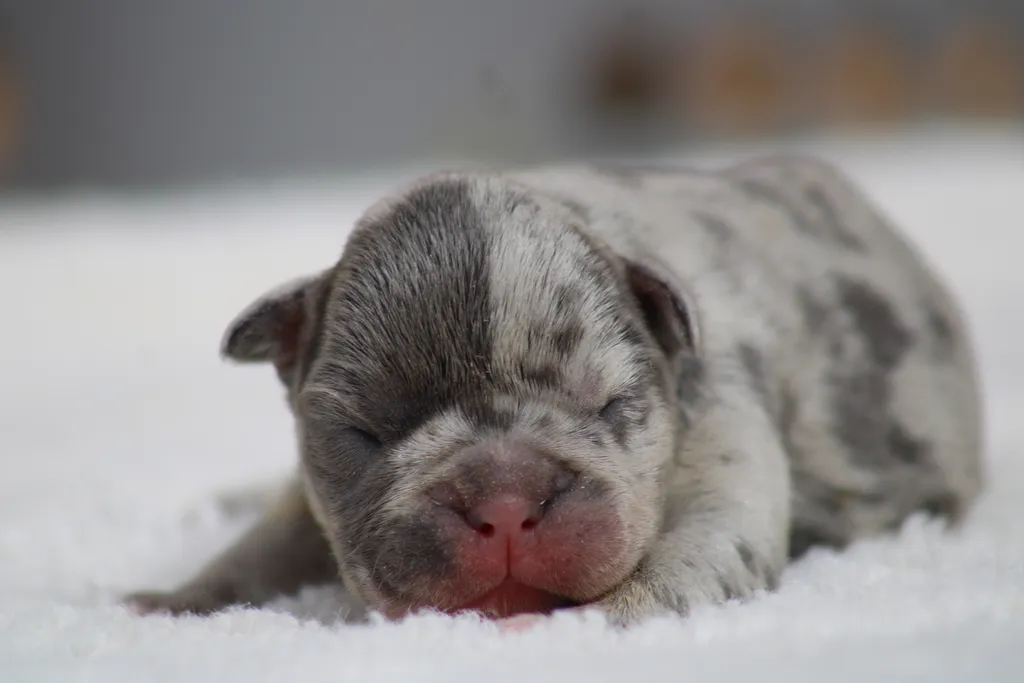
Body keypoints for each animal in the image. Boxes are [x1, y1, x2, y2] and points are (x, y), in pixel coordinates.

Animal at [128, 157, 983, 626]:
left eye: (609, 405)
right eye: (365, 431)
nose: (506, 501)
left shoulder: (724, 428)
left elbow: (698, 547)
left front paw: (592, 620)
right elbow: (260, 549)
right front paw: (179, 598)